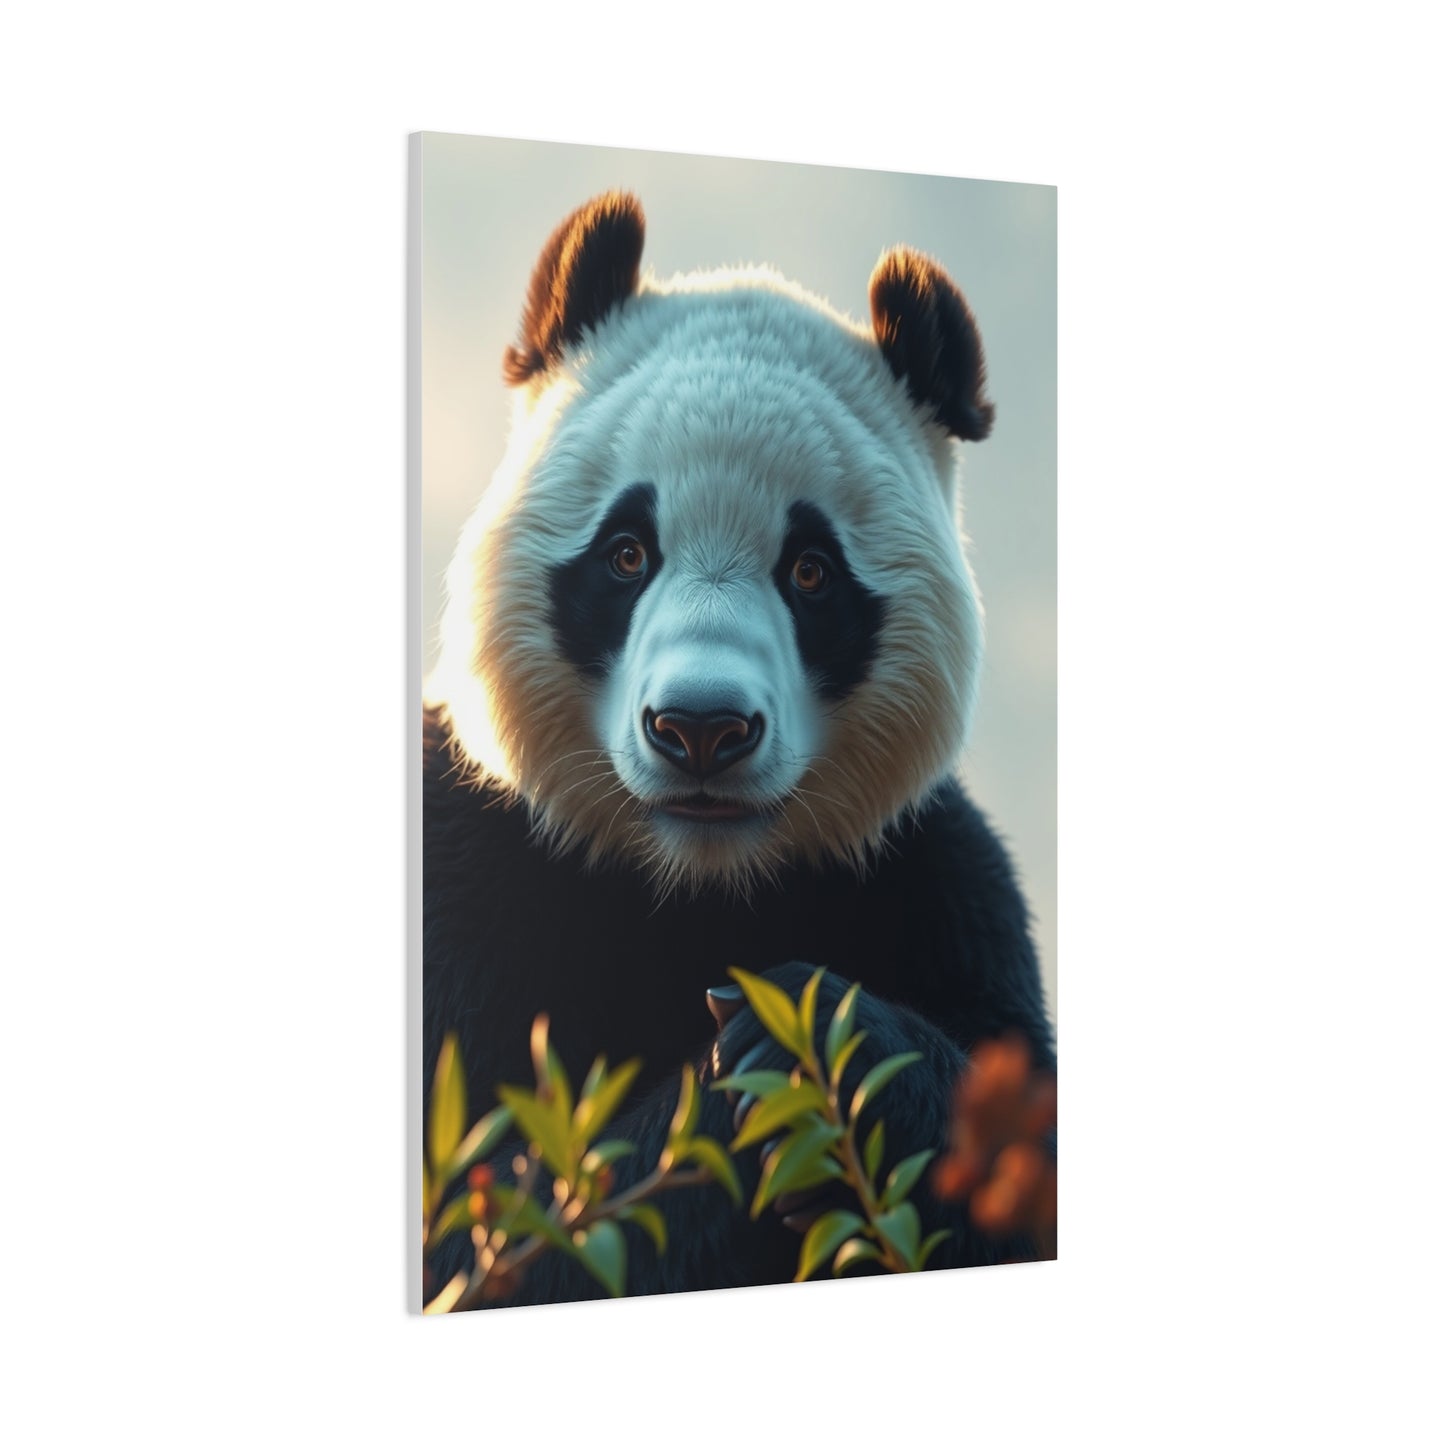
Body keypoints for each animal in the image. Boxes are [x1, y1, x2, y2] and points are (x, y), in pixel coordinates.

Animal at [423, 191, 1054, 1305]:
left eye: (809, 571)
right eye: (626, 553)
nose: (701, 729)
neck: (694, 883)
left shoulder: (935, 884)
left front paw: (810, 1032)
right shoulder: (468, 869)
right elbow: (490, 1234)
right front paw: (750, 1073)